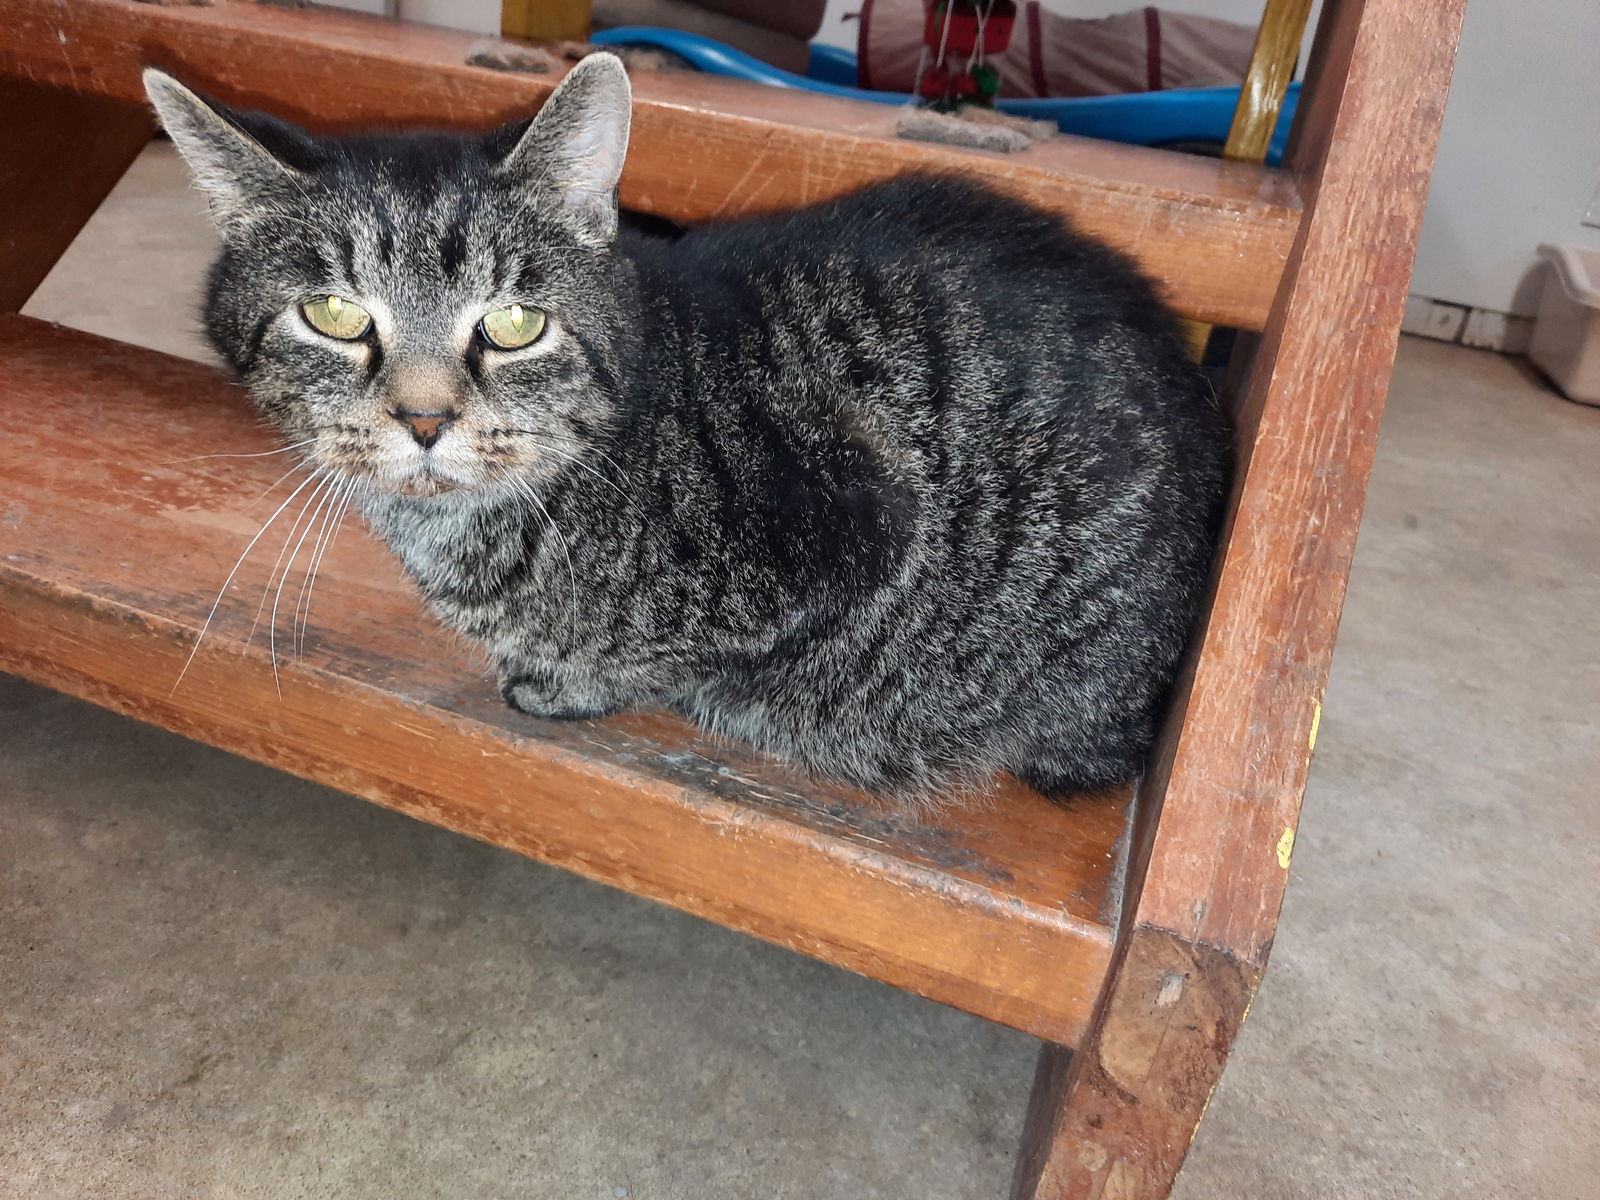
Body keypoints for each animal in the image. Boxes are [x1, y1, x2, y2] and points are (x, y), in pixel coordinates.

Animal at [144, 58, 1228, 809]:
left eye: (514, 324)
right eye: (332, 315)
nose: (424, 419)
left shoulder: (849, 535)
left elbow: (667, 662)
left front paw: (569, 684)